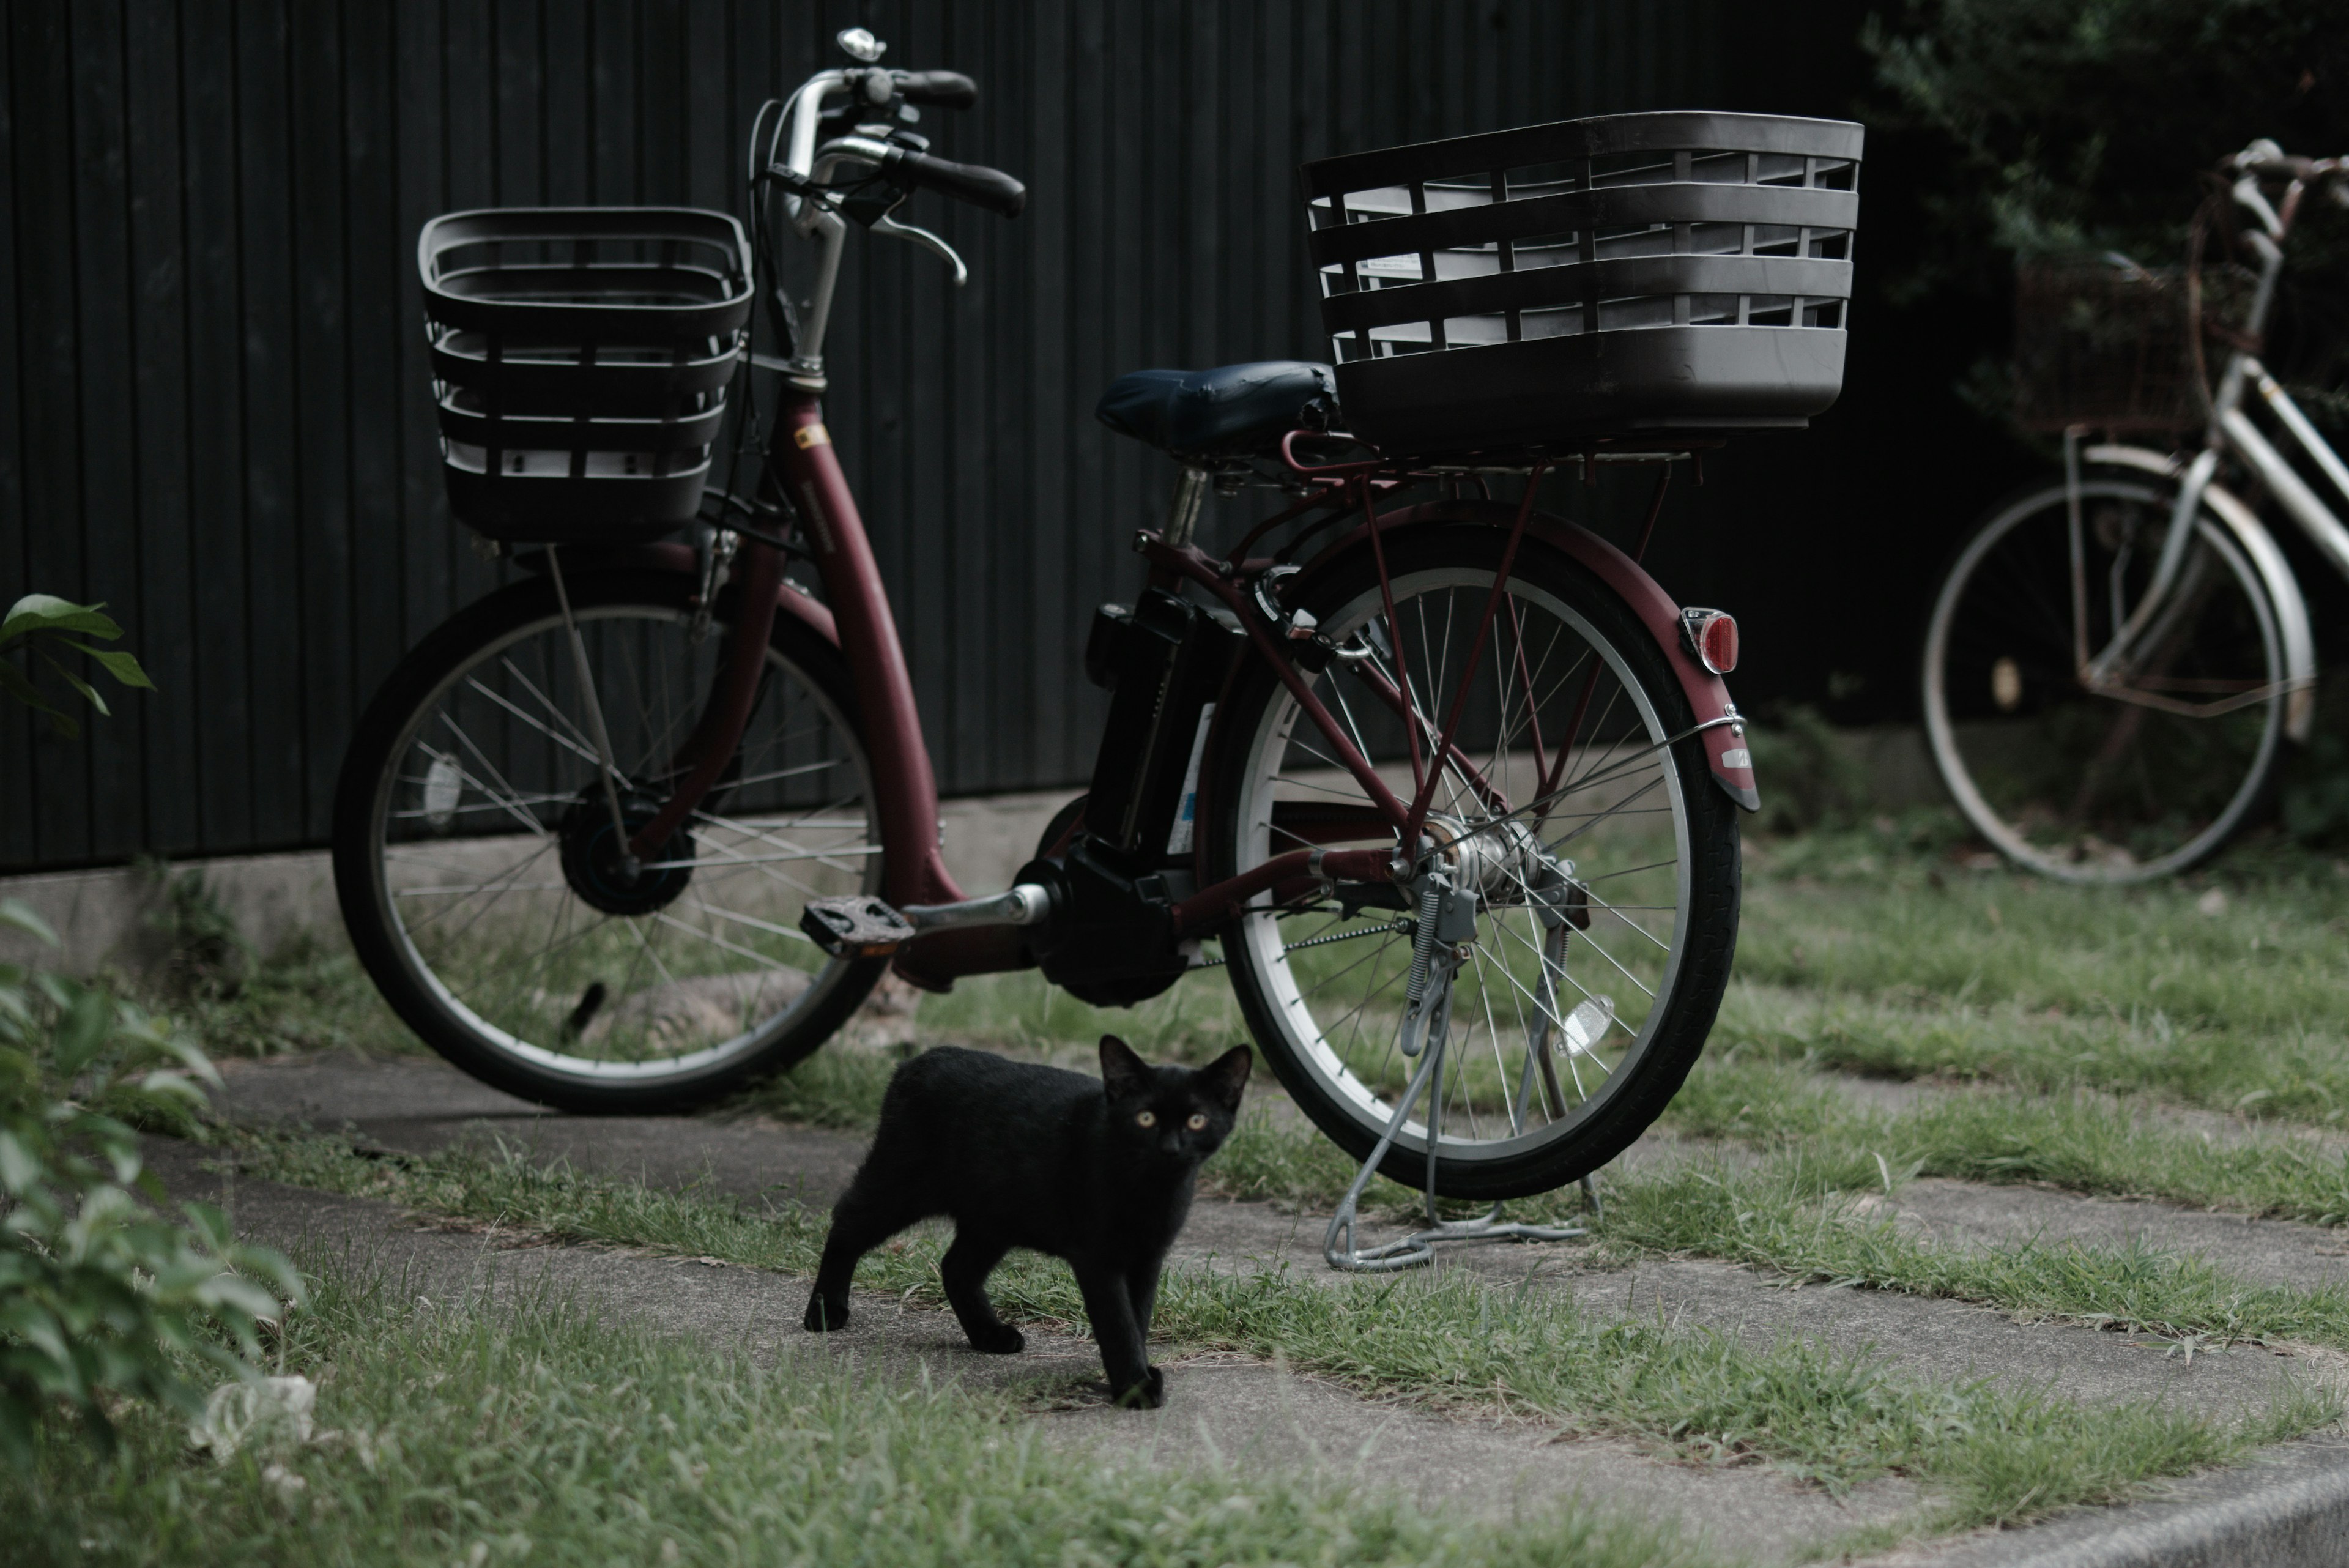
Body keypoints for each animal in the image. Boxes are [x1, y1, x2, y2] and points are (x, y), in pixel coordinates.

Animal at [803, 1044, 1249, 1410]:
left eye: (1197, 1120)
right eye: (1145, 1118)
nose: (1171, 1148)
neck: (1149, 1189)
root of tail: (917, 1061)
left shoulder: (1147, 1258)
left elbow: (1138, 1316)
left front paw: (1133, 1375)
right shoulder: (1099, 1261)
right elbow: (1118, 1321)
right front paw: (1134, 1386)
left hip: (992, 1218)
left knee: (956, 1268)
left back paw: (989, 1335)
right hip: (900, 1185)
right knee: (846, 1222)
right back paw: (825, 1310)